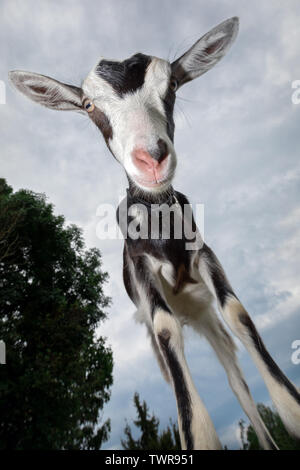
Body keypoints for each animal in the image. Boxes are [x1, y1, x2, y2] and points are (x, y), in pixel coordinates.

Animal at [8, 16, 298, 450]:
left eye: (173, 84)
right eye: (89, 105)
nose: (152, 158)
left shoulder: (203, 254)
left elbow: (237, 310)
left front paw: (291, 410)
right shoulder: (141, 268)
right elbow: (165, 329)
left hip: (204, 315)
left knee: (235, 376)